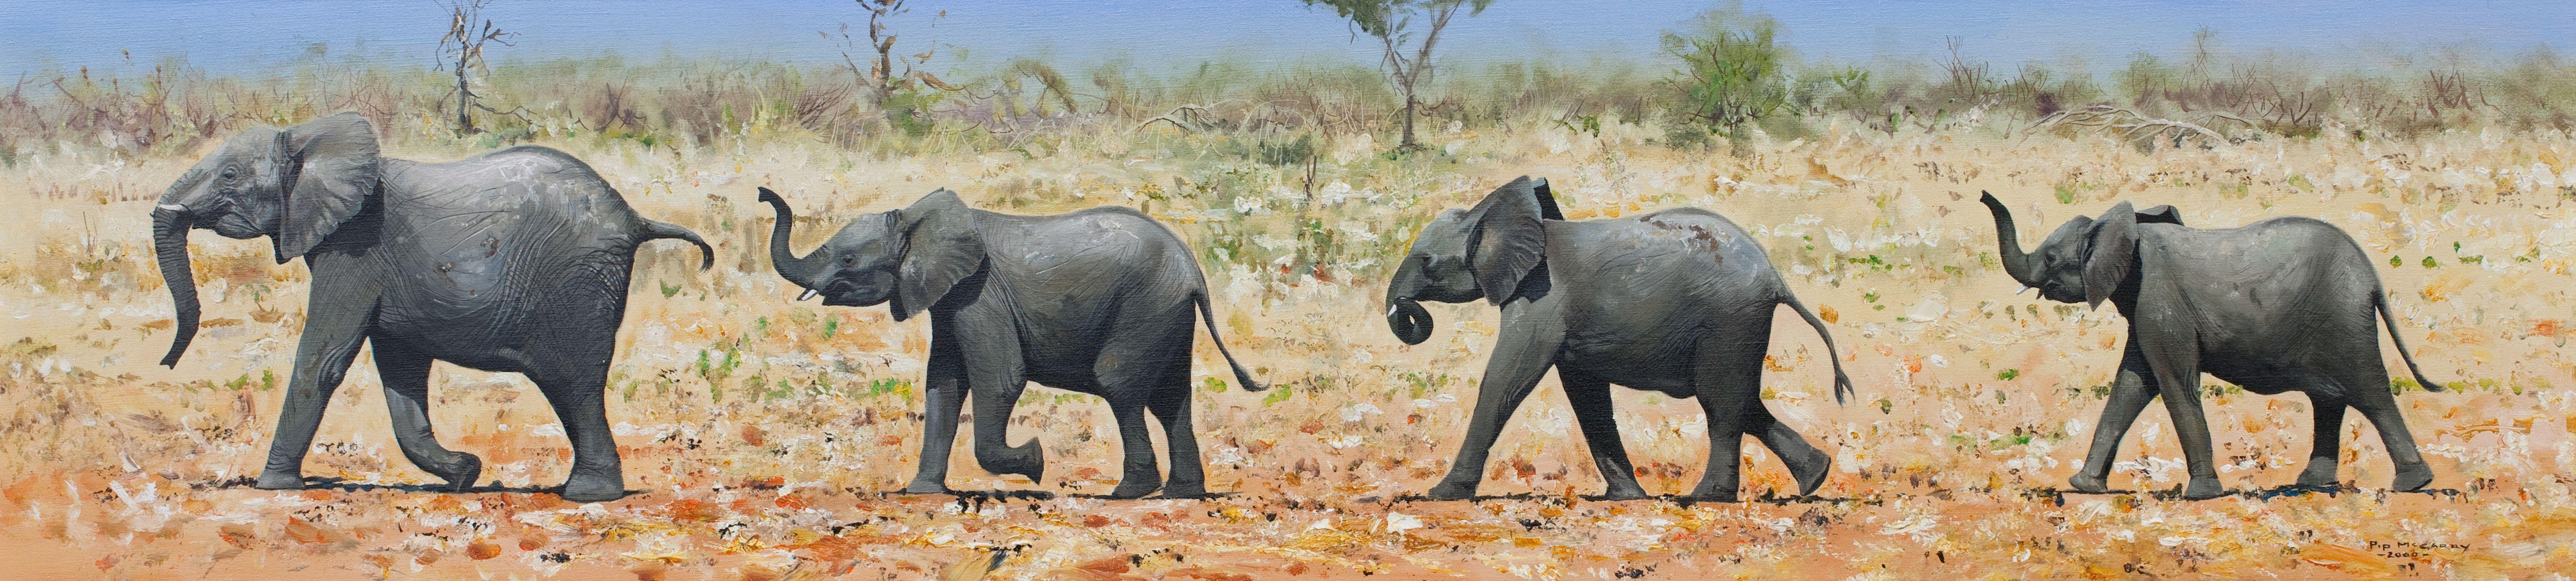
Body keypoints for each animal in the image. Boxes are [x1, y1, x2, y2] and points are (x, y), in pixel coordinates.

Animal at [151, 112, 712, 502]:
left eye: (229, 175)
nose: (167, 363)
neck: (311, 138)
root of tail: (635, 217)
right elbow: (401, 369)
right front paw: (465, 474)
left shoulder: (357, 246)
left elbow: (325, 358)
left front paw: (273, 486)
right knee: (571, 389)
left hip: (577, 283)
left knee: (576, 384)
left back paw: (588, 496)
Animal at [757, 186, 1262, 498]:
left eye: (848, 259)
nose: (764, 194)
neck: (916, 220)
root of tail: (1194, 269)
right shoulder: (951, 299)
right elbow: (943, 384)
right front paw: (922, 493)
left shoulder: (980, 295)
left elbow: (1001, 379)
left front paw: (1036, 462)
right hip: (1167, 313)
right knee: (1171, 397)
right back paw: (1182, 493)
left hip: (1147, 305)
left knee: (1118, 383)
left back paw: (1128, 494)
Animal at [1386, 177, 1855, 502]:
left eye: (1427, 262)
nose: (1407, 309)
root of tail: (1777, 278)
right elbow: (1585, 393)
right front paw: (1626, 498)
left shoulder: (1541, 298)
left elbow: (1507, 380)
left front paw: (1441, 496)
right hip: (1738, 326)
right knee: (1742, 401)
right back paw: (1816, 478)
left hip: (1729, 319)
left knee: (1721, 403)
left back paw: (1706, 499)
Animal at [1980, 193, 2444, 499]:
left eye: (2052, 259)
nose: (1985, 195)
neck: (2125, 229)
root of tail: (2372, 275)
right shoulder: (2145, 307)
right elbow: (2132, 384)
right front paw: (2084, 487)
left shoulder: (2159, 298)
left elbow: (2173, 383)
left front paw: (2201, 495)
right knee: (2329, 397)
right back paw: (2313, 484)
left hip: (2344, 319)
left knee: (2370, 391)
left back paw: (2414, 484)